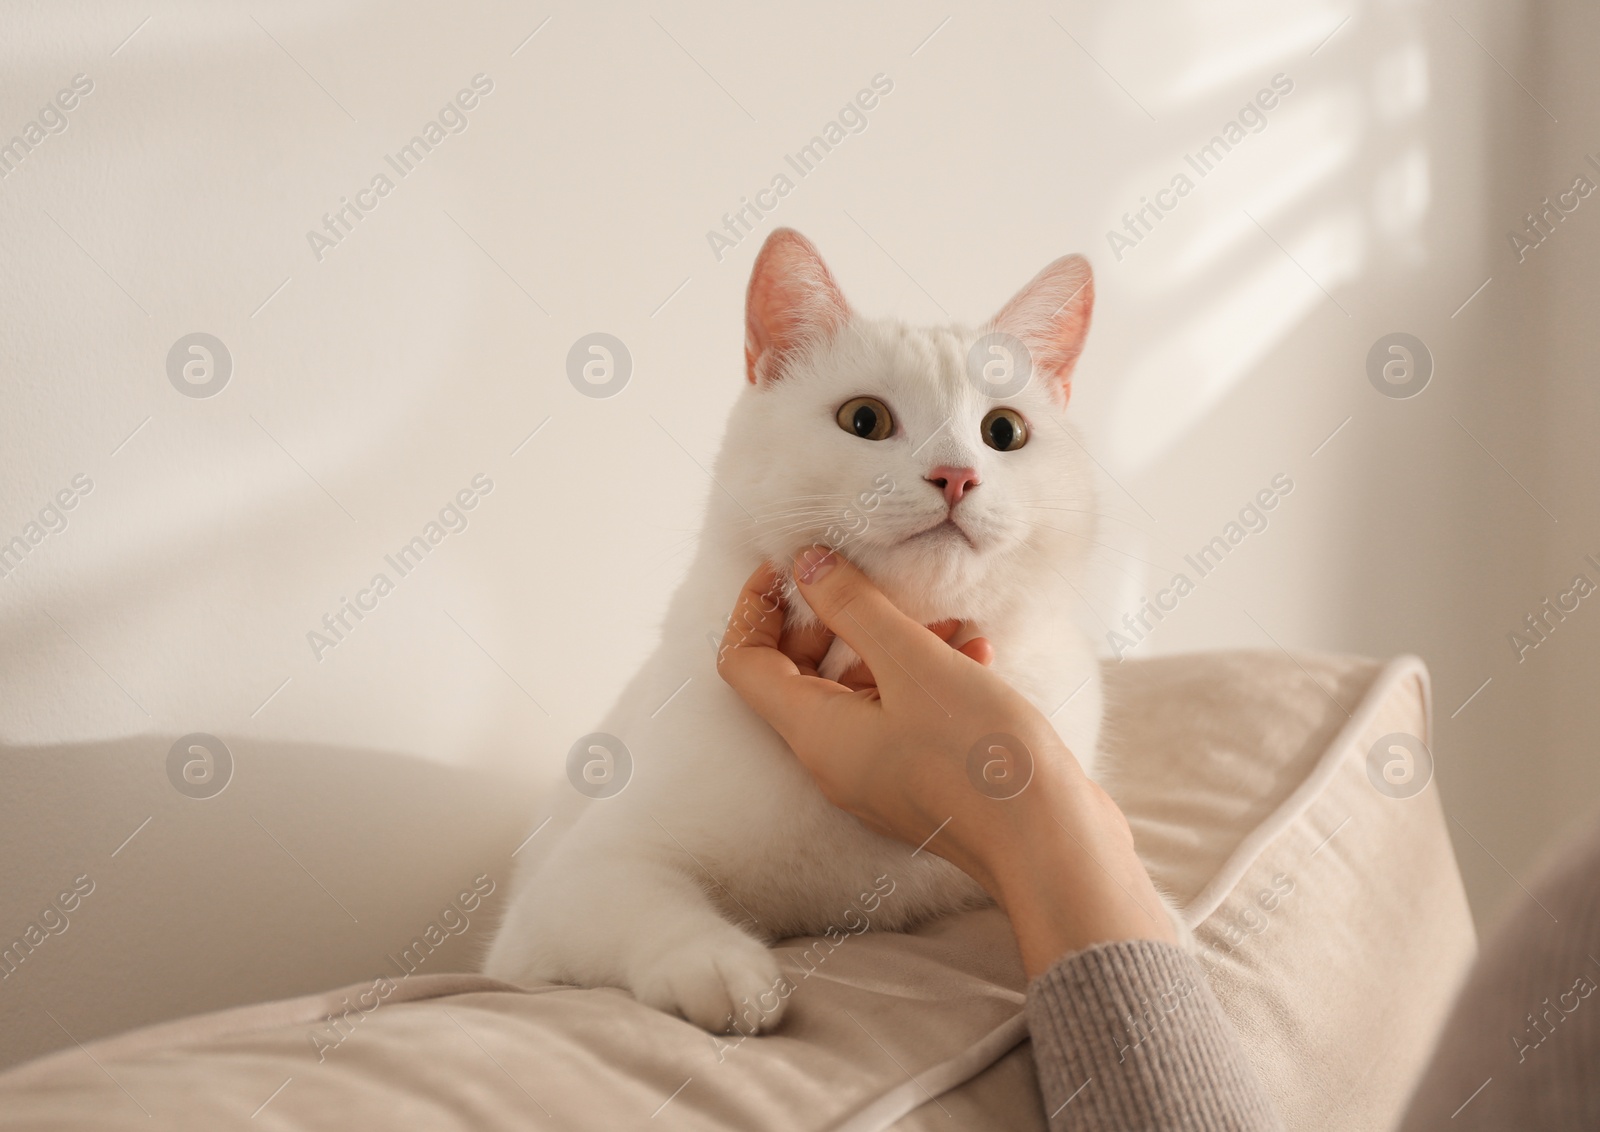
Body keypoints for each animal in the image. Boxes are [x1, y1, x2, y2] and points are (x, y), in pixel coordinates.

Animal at [480, 230, 1132, 1036]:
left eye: (1003, 432)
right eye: (865, 420)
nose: (956, 476)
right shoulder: (564, 892)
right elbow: (650, 907)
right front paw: (724, 973)